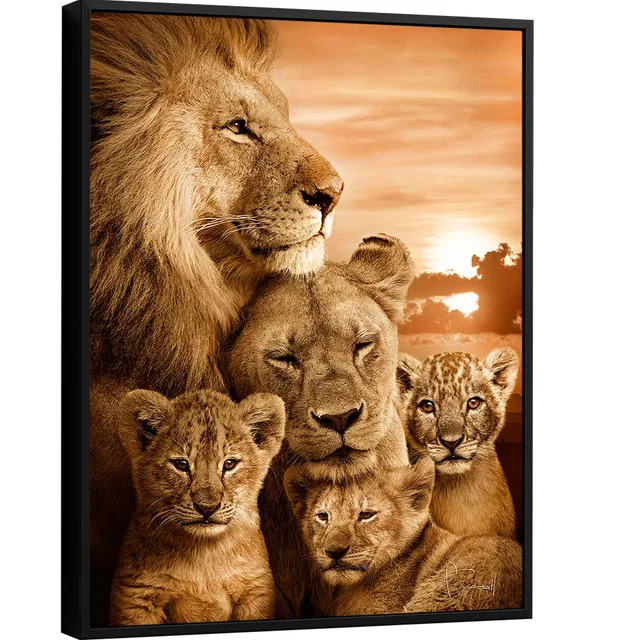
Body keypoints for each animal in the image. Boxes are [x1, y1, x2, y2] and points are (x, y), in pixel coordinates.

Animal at [110, 389, 285, 626]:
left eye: (229, 464)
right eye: (181, 464)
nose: (207, 507)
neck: (204, 553)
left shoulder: (255, 592)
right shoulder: (137, 595)